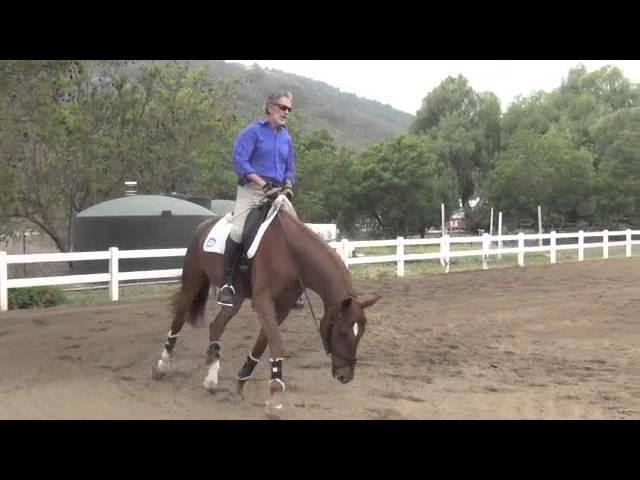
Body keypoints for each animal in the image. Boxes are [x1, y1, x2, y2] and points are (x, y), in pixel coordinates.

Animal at [152, 195, 378, 408]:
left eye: (361, 334)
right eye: (343, 332)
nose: (345, 376)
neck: (291, 254)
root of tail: (203, 226)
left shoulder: (283, 306)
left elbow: (262, 344)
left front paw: (242, 379)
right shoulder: (263, 301)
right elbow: (276, 343)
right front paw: (276, 391)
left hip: (235, 298)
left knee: (216, 326)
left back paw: (211, 379)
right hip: (193, 281)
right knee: (179, 317)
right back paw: (162, 366)